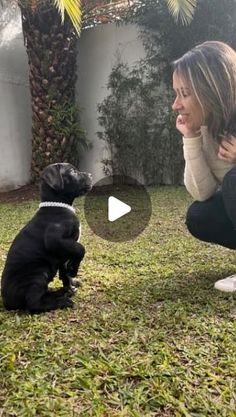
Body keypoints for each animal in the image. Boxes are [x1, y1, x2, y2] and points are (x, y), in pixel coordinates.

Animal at [0, 162, 92, 312]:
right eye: (72, 172)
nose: (90, 175)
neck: (58, 206)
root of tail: (7, 302)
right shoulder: (54, 240)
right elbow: (80, 248)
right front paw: (74, 268)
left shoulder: (63, 253)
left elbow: (65, 272)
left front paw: (70, 284)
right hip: (38, 273)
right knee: (34, 303)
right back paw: (62, 301)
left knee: (43, 294)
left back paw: (62, 292)